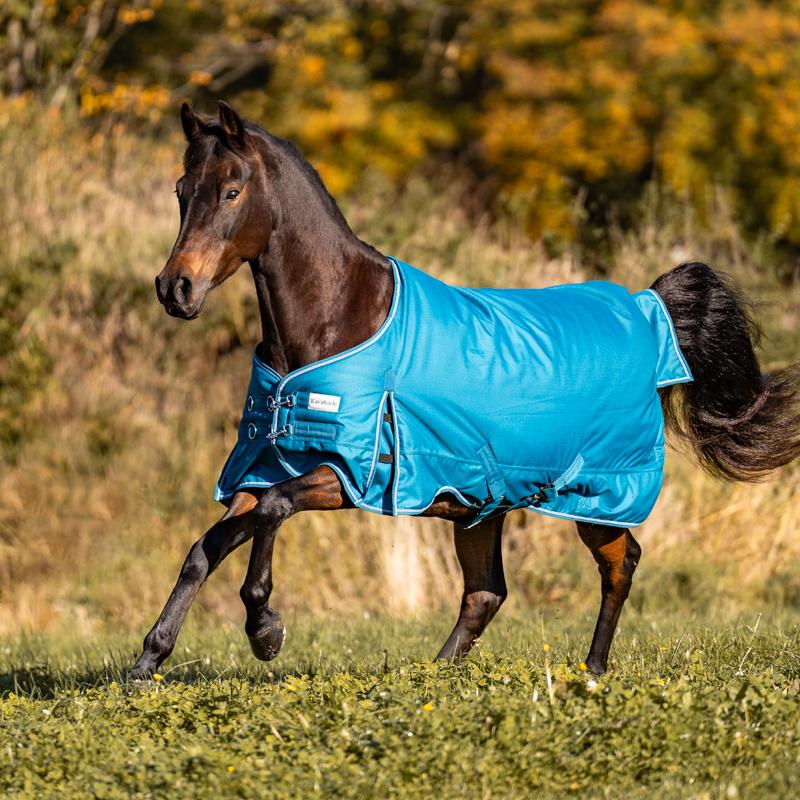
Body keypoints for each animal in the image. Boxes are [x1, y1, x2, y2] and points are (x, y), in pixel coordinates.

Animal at [130, 101, 800, 680]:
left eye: (232, 191)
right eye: (182, 191)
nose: (175, 288)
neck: (336, 320)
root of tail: (646, 311)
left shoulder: (346, 473)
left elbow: (270, 512)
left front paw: (265, 631)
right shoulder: (270, 465)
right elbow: (206, 547)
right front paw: (146, 664)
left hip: (595, 496)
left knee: (619, 565)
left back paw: (591, 672)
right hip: (479, 504)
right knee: (485, 593)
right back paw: (435, 675)